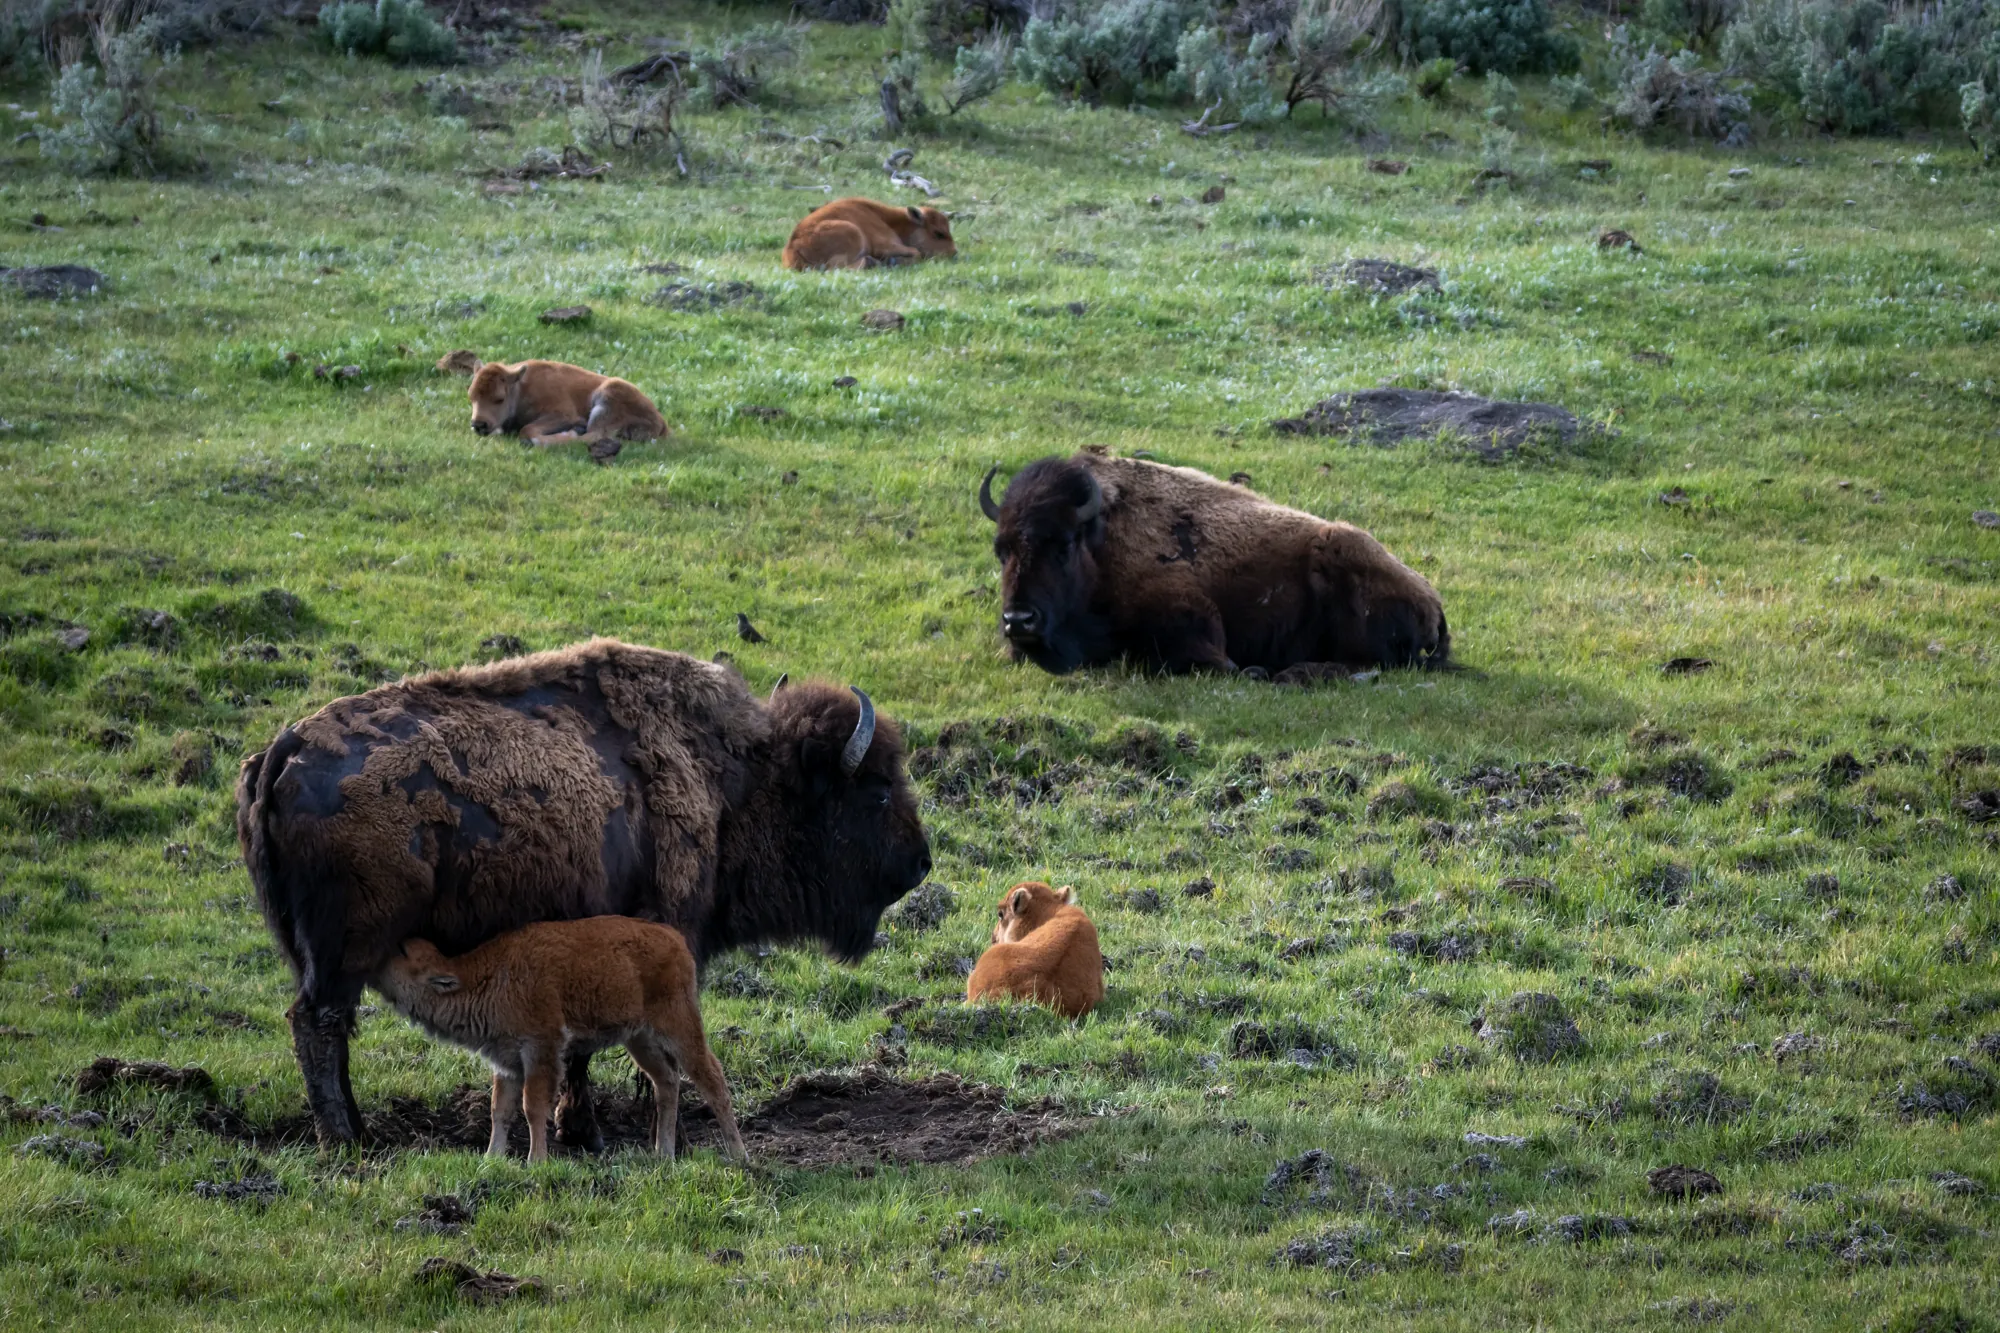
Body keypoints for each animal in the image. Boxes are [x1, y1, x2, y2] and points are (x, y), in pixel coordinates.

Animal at [375, 919, 749, 1166]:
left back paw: (739, 1155)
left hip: (679, 1026)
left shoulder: (541, 1049)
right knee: (666, 1081)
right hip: (639, 1038)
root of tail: (675, 939)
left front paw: (535, 1161)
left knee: (711, 1078)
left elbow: (533, 1106)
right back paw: (663, 1154)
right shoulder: (506, 1062)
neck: (489, 976)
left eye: (403, 953)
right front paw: (491, 1158)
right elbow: (500, 1110)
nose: (377, 964)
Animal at [467, 359, 669, 463]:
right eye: (471, 396)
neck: (522, 387)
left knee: (594, 435)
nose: (479, 424)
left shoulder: (563, 415)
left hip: (606, 398)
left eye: (499, 398)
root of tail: (661, 423)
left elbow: (527, 429)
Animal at [781, 198, 957, 271]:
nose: (954, 253)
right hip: (853, 232)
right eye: (939, 233)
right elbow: (916, 252)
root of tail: (792, 248)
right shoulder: (883, 245)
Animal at [977, 453, 1449, 677]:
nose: (1019, 621)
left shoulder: (1194, 625)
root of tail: (1432, 600)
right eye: (1002, 550)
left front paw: (1249, 670)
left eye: (1063, 545)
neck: (1102, 543)